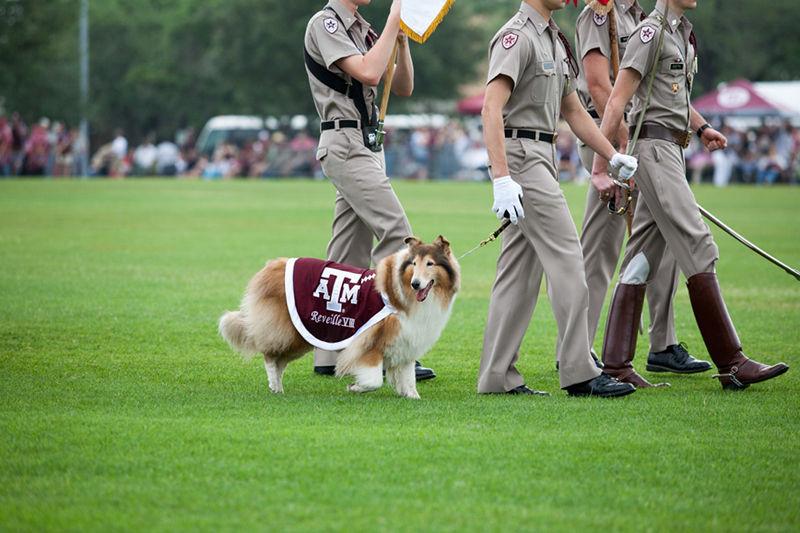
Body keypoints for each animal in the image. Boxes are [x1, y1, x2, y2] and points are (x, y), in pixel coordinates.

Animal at [219, 235, 460, 396]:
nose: (416, 283)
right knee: (270, 356)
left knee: (279, 361)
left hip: (300, 335)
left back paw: (277, 387)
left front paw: (411, 396)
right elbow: (374, 380)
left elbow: (408, 377)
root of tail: (272, 265)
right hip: (288, 331)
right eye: (414, 264)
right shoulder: (371, 341)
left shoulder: (408, 339)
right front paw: (355, 387)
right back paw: (274, 385)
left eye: (430, 263)